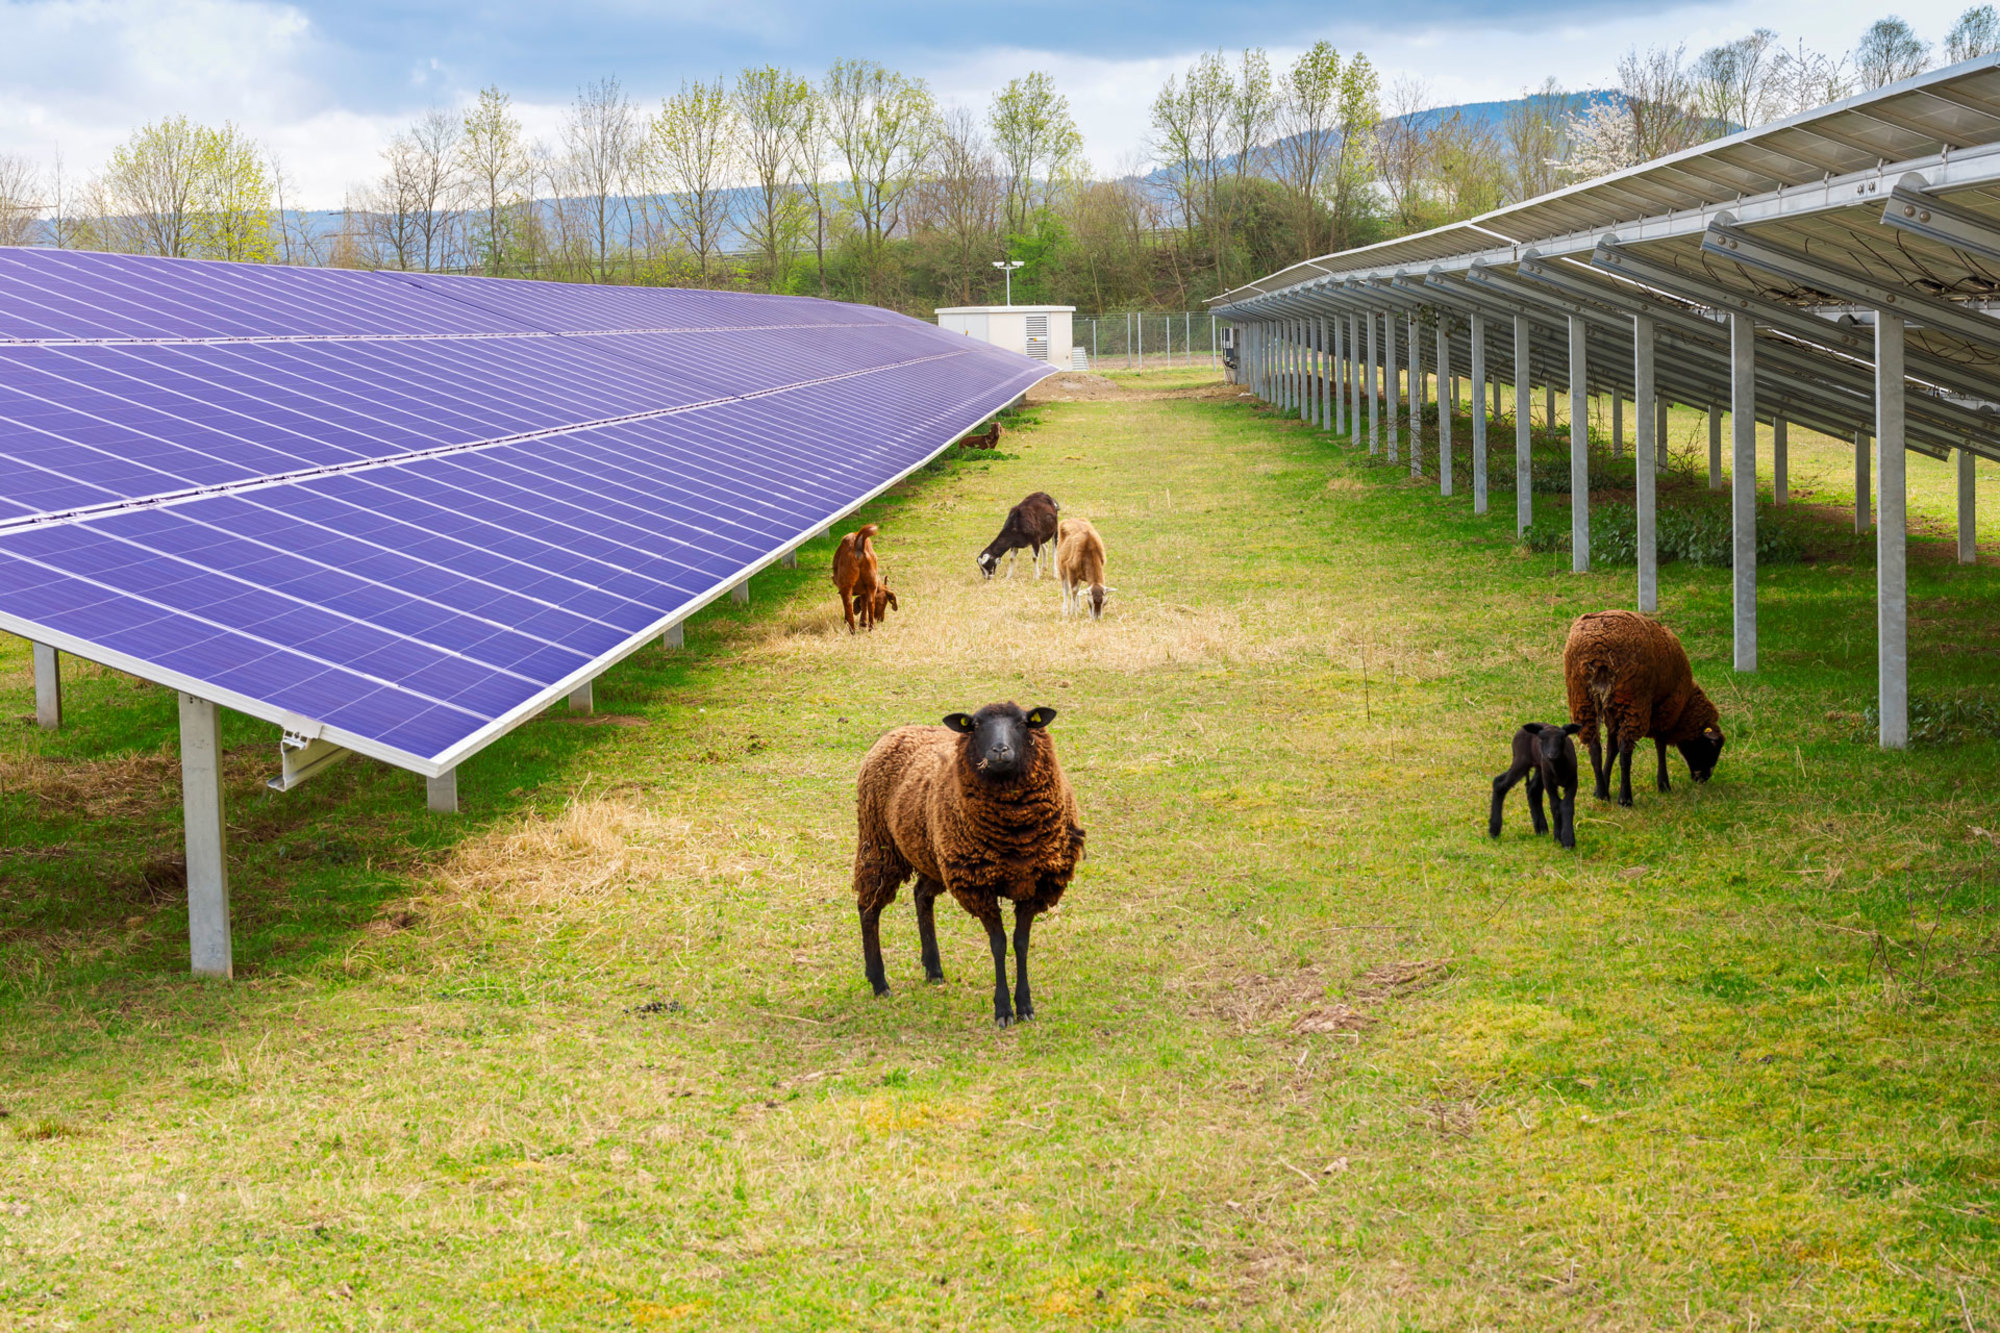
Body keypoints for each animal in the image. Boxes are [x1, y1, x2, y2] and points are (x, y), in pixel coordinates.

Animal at [852, 702, 1085, 1027]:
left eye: (1022, 723)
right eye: (975, 726)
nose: (999, 750)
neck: (1014, 834)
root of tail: (898, 731)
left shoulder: (1036, 884)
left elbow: (1021, 942)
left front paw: (1025, 1005)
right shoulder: (979, 887)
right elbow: (999, 943)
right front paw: (1003, 1010)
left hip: (932, 854)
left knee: (921, 896)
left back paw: (933, 969)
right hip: (878, 842)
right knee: (868, 907)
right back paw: (879, 982)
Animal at [1563, 610, 1726, 806]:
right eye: (1712, 746)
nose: (1703, 778)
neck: (1684, 707)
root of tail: (1598, 652)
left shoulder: (1612, 713)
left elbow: (1611, 749)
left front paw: (1603, 784)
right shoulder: (1665, 708)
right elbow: (1660, 745)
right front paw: (1663, 784)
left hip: (1582, 698)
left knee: (1595, 748)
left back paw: (1602, 794)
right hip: (1631, 699)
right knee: (1626, 752)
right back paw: (1625, 798)